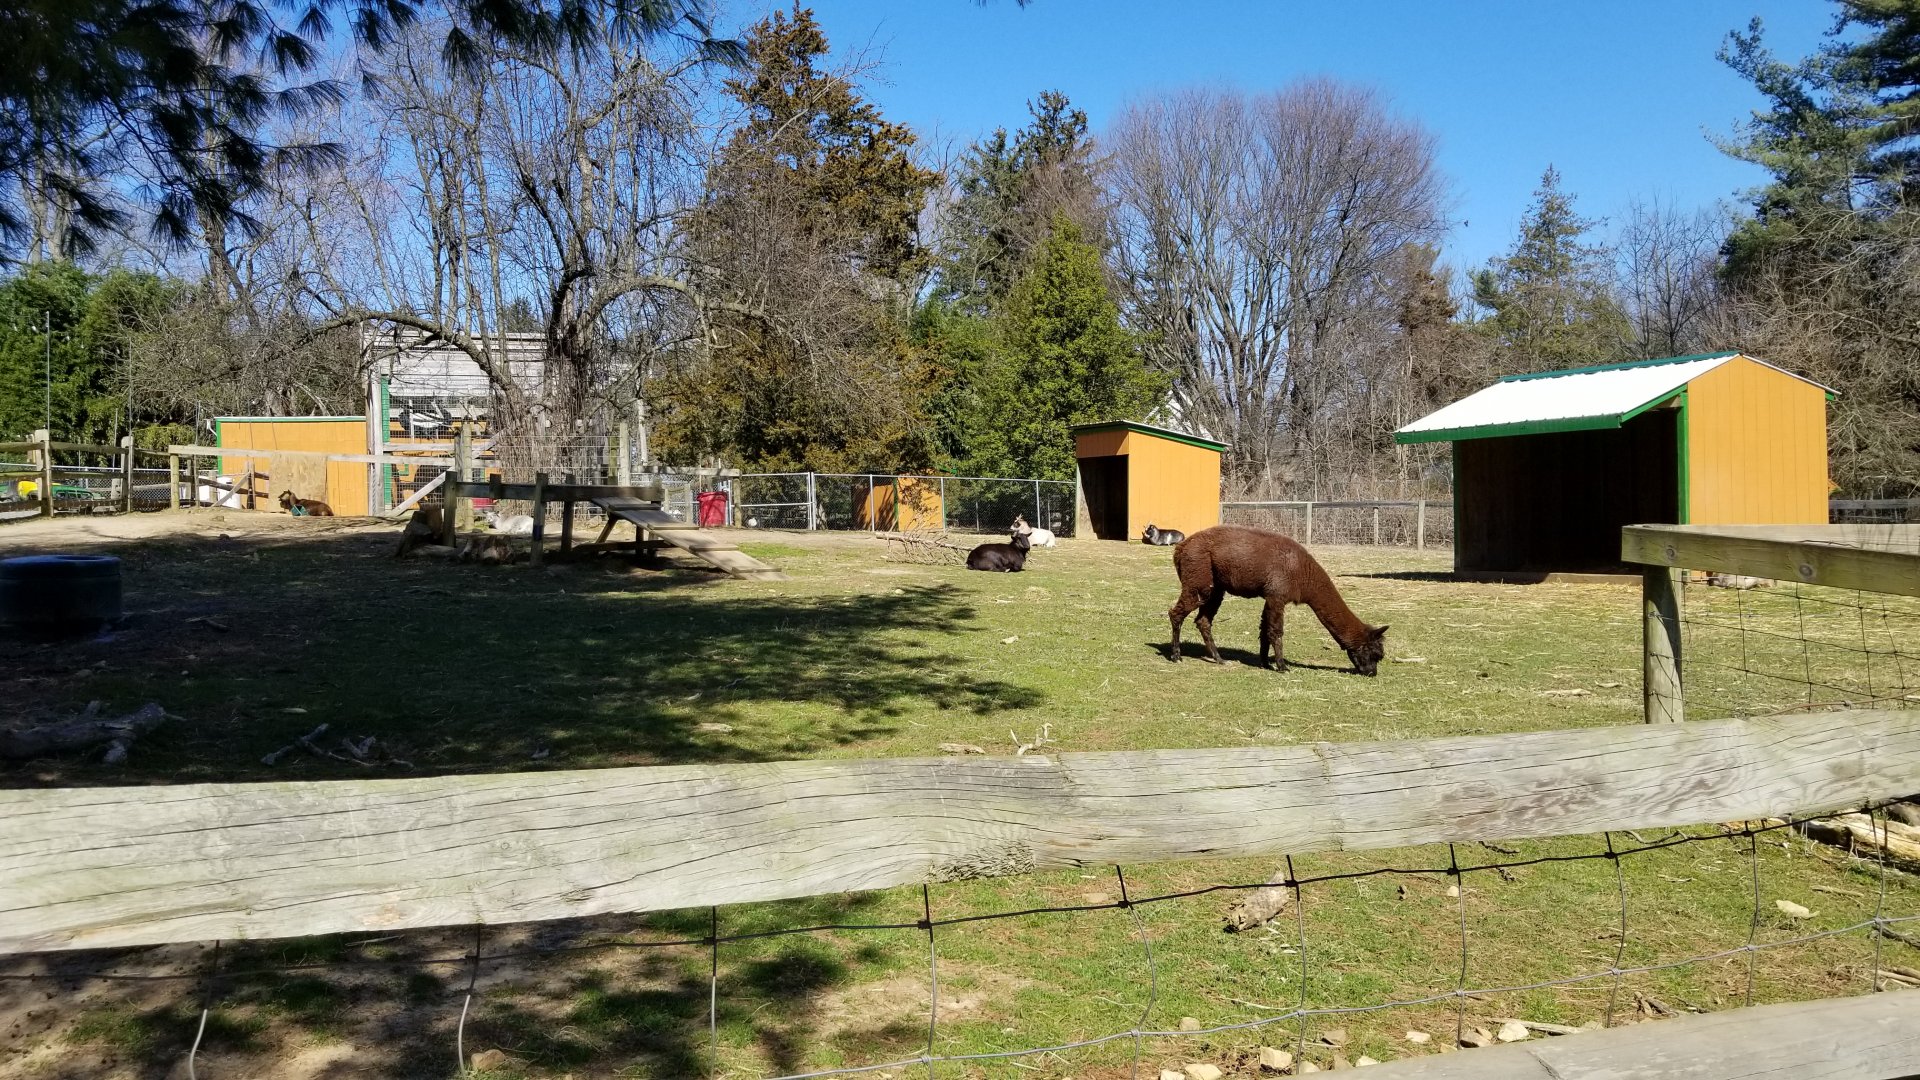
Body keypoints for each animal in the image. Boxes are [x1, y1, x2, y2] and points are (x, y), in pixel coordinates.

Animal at [1168, 525, 1388, 675]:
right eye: (1375, 654)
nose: (1371, 673)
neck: (1303, 574)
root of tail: (1181, 547)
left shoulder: (1270, 596)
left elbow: (1264, 630)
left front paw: (1265, 663)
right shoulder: (1277, 595)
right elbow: (1276, 631)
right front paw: (1282, 666)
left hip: (1215, 587)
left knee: (1203, 621)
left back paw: (1219, 658)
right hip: (1199, 578)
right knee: (1175, 613)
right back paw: (1176, 656)